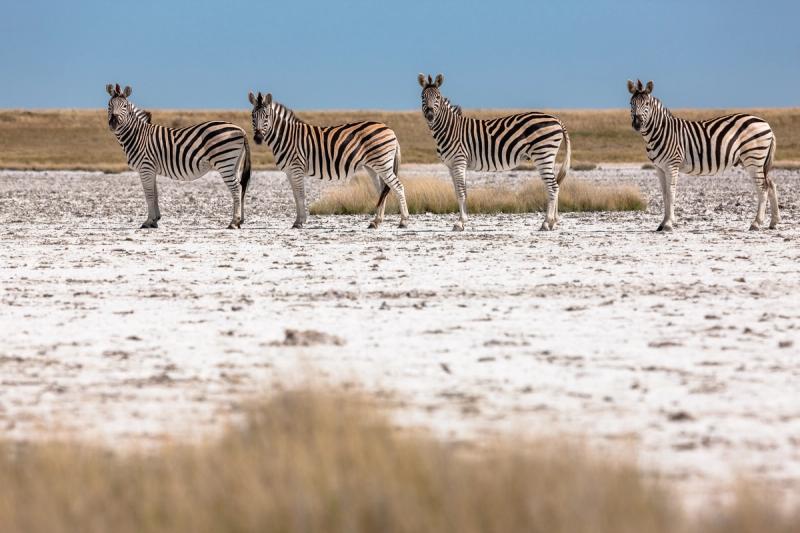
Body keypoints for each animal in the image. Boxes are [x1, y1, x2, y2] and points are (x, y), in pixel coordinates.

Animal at [106, 83, 251, 229]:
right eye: (109, 105)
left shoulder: (145, 168)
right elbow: (155, 194)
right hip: (234, 163)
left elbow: (149, 195)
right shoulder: (151, 170)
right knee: (241, 186)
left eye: (125, 106)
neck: (138, 136)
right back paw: (240, 221)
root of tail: (240, 129)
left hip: (224, 162)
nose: (113, 123)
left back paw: (234, 222)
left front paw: (148, 221)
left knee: (236, 188)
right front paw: (155, 220)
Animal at [248, 91, 409, 229]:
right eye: (253, 116)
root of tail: (390, 129)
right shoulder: (289, 172)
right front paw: (298, 220)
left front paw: (299, 222)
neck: (287, 137)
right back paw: (376, 221)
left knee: (398, 186)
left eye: (266, 116)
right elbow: (295, 196)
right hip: (373, 167)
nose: (258, 138)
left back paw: (403, 221)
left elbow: (300, 195)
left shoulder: (296, 168)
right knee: (383, 190)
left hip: (382, 164)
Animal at [418, 73, 571, 231]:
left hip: (543, 155)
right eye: (423, 96)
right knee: (556, 184)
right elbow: (460, 191)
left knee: (552, 187)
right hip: (548, 157)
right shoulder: (452, 165)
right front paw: (463, 220)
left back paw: (546, 223)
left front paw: (459, 223)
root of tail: (556, 119)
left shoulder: (459, 161)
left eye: (438, 97)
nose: (430, 115)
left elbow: (460, 192)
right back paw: (553, 221)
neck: (449, 129)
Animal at [628, 79, 779, 231]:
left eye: (647, 104)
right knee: (771, 184)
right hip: (755, 161)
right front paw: (663, 223)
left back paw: (756, 223)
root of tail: (766, 123)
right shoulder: (659, 168)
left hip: (754, 158)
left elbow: (671, 193)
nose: (637, 124)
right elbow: (664, 195)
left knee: (763, 188)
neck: (661, 132)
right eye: (631, 103)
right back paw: (773, 222)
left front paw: (669, 223)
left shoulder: (672, 165)